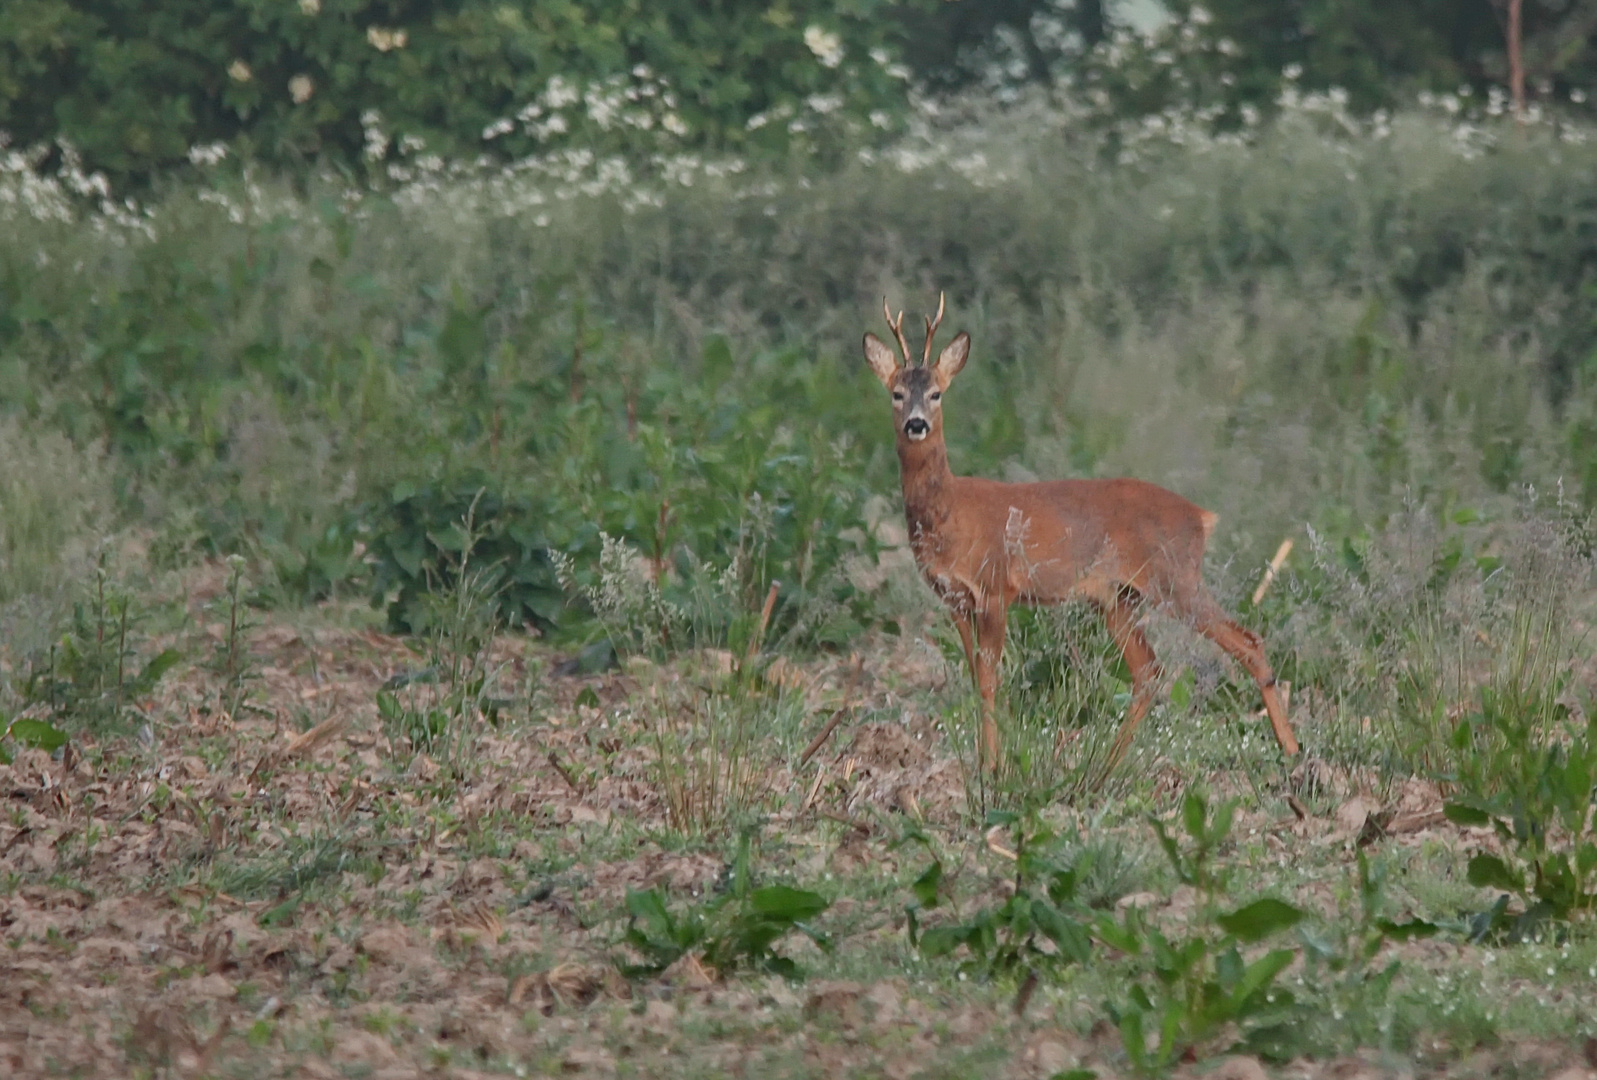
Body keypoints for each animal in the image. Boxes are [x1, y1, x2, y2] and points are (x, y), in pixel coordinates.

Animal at [862, 293, 1296, 766]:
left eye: (936, 393)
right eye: (896, 393)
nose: (916, 423)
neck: (949, 514)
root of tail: (1201, 516)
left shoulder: (995, 586)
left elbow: (991, 679)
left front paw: (993, 766)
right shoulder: (954, 598)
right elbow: (976, 679)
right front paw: (982, 762)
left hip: (1176, 578)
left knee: (1248, 642)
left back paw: (1292, 751)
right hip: (1119, 597)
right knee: (1149, 669)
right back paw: (1106, 764)